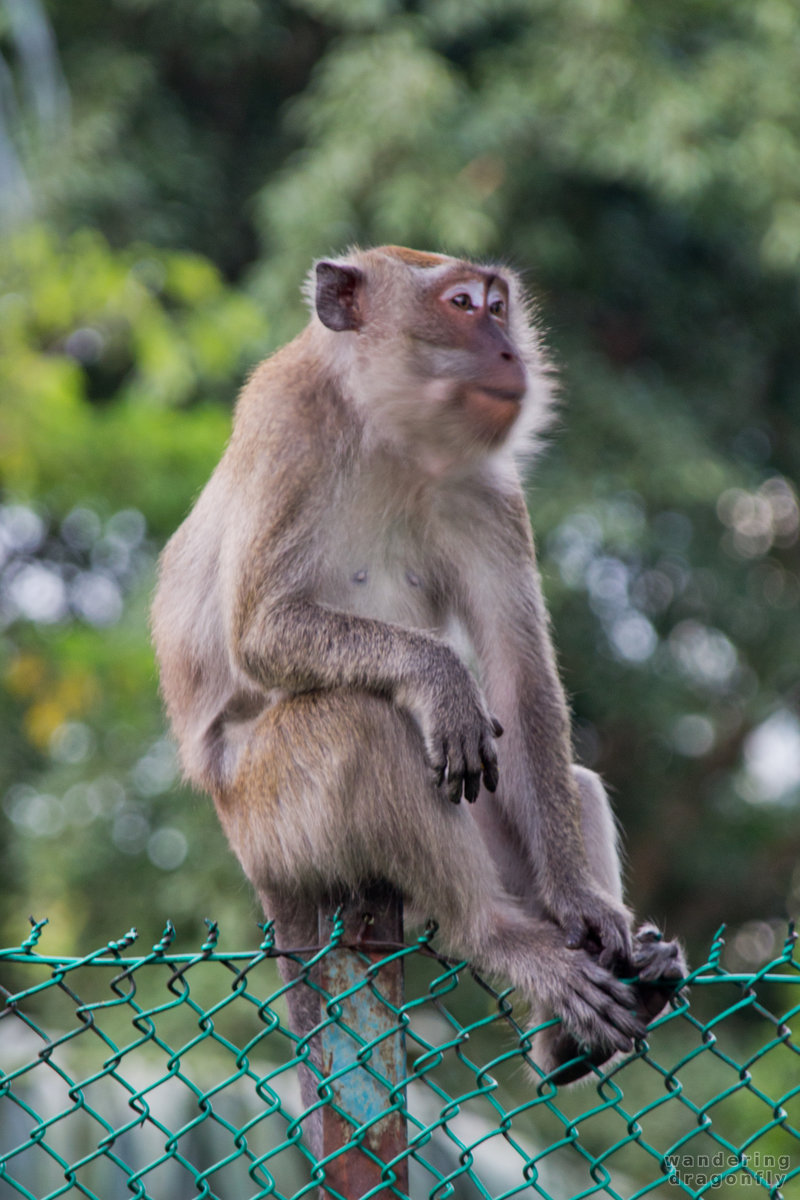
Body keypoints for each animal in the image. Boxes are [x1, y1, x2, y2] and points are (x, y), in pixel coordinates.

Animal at [153, 246, 686, 1113]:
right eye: (462, 303)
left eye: (500, 305)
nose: (509, 351)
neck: (388, 434)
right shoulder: (286, 425)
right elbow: (263, 630)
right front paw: (441, 681)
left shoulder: (487, 486)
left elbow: (519, 677)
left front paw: (581, 903)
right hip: (272, 821)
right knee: (359, 724)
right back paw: (498, 936)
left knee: (561, 778)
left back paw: (577, 1028)